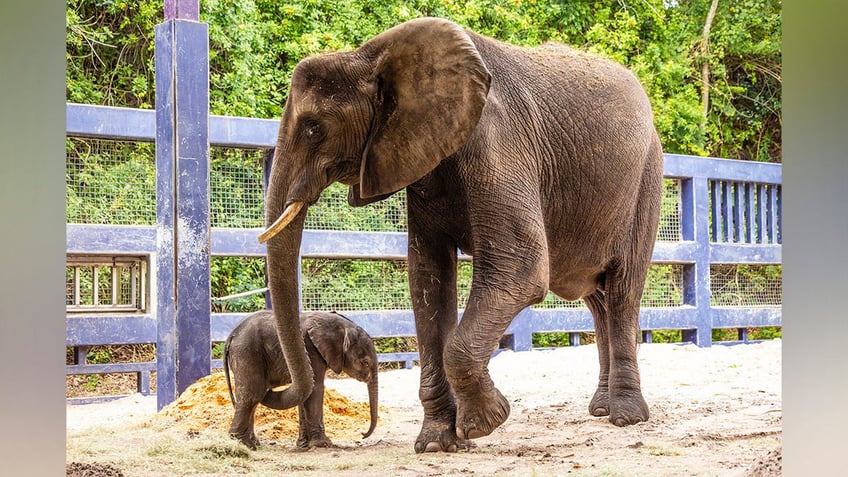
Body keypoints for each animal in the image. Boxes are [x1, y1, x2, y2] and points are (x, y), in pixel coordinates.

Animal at [224, 310, 376, 448]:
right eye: (366, 363)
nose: (362, 434)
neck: (341, 326)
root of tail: (231, 336)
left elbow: (306, 394)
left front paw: (304, 445)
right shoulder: (311, 350)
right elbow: (315, 388)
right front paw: (323, 444)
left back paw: (253, 443)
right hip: (247, 353)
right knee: (252, 394)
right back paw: (244, 444)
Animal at [258, 16, 664, 452]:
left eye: (314, 129)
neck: (371, 55)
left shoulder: (499, 144)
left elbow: (520, 269)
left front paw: (485, 422)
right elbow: (427, 281)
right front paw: (438, 443)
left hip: (646, 178)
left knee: (621, 292)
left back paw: (625, 418)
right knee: (597, 297)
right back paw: (601, 409)